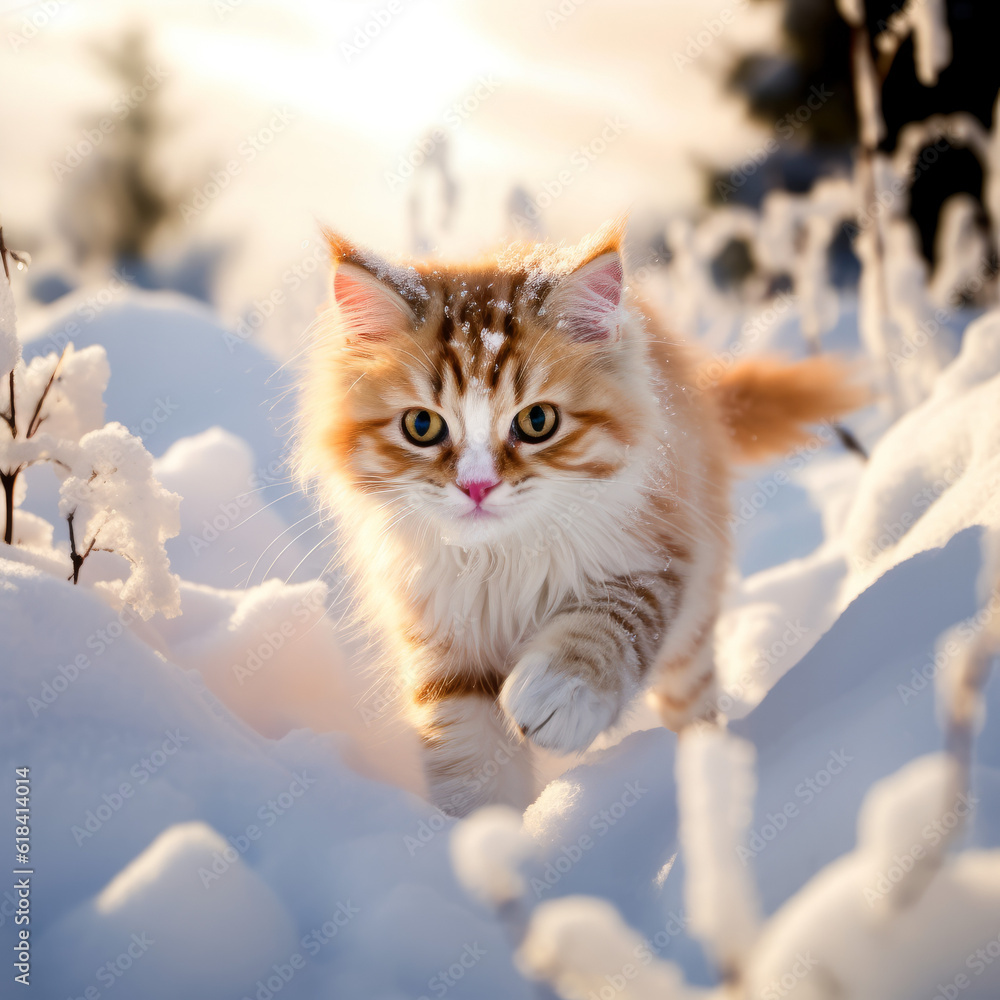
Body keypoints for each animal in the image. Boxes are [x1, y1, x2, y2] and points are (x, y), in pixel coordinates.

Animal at [292, 223, 864, 816]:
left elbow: (609, 622)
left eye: (537, 421)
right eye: (422, 426)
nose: (477, 486)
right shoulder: (442, 647)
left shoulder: (660, 555)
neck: (500, 562)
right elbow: (472, 768)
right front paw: (490, 833)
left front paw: (559, 693)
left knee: (692, 705)